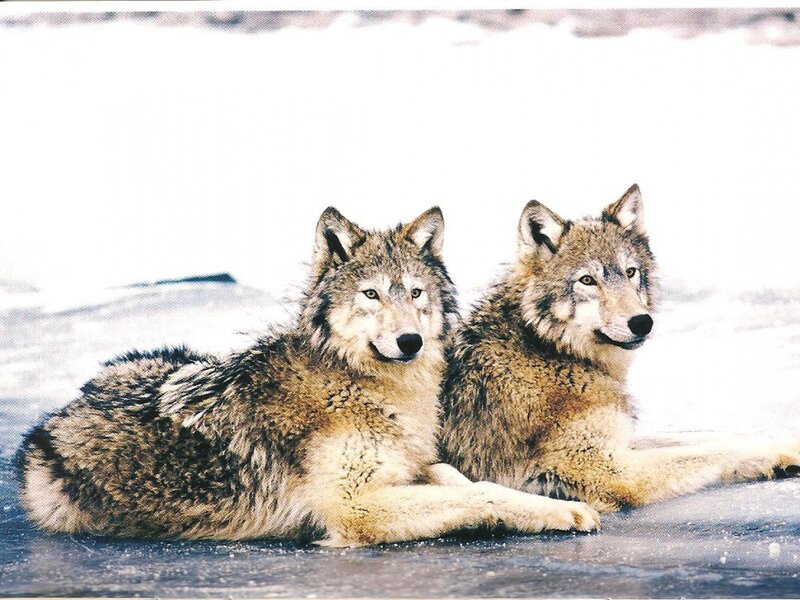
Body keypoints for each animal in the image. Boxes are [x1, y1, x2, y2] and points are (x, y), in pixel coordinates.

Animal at [17, 207, 599, 546]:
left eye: (415, 293)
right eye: (371, 294)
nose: (410, 341)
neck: (358, 385)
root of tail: (61, 409)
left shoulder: (410, 466)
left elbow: (465, 479)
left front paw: (560, 508)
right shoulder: (355, 507)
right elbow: (478, 496)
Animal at [441, 185, 800, 512]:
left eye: (631, 272)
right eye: (587, 280)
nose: (642, 322)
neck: (550, 350)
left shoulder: (621, 438)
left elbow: (710, 436)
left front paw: (788, 447)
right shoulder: (609, 470)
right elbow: (713, 451)